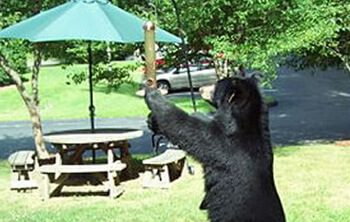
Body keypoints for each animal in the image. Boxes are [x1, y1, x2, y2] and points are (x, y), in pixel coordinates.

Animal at [144, 75, 284, 221]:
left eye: (216, 85)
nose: (200, 88)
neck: (244, 121)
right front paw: (152, 121)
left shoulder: (224, 144)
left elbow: (188, 128)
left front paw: (152, 93)